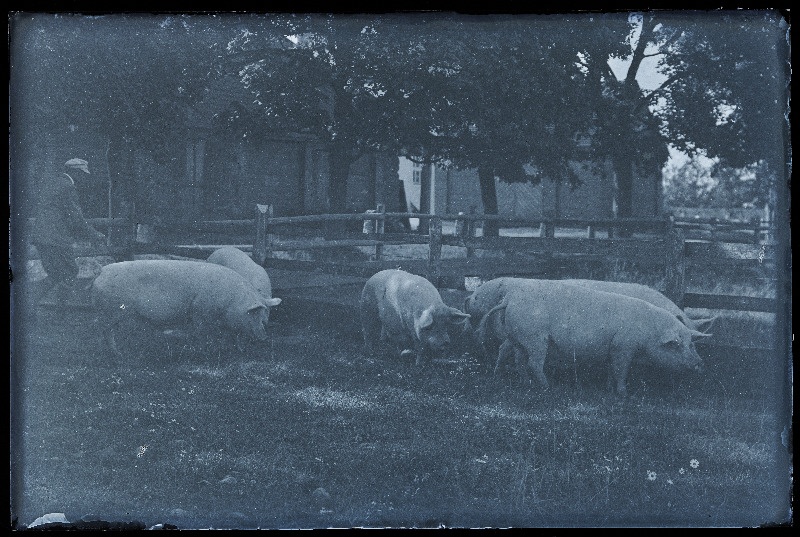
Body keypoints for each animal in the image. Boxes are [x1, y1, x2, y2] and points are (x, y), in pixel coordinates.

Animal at [91, 258, 276, 358]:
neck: (232, 301)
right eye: (253, 313)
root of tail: (101, 271)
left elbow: (236, 336)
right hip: (110, 311)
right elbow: (203, 333)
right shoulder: (200, 311)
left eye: (265, 316)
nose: (264, 337)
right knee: (103, 331)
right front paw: (206, 352)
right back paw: (115, 354)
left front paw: (238, 350)